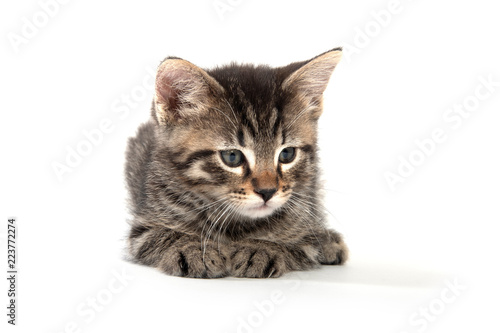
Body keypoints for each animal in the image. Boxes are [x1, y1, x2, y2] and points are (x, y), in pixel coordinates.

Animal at [126, 48, 348, 276]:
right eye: (232, 156)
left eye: (287, 154)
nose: (267, 192)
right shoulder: (143, 229)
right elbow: (161, 235)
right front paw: (190, 247)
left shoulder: (307, 235)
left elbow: (300, 241)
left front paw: (262, 248)